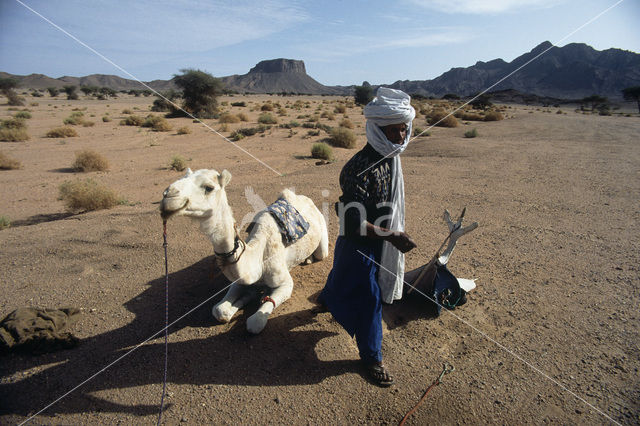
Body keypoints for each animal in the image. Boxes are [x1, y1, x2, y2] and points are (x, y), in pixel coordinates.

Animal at [160, 168, 330, 334]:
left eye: (209, 187)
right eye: (182, 177)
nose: (168, 195)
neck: (258, 258)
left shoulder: (285, 283)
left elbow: (255, 323)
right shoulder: (239, 279)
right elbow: (219, 310)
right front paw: (248, 296)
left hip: (323, 232)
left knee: (321, 253)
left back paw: (309, 259)